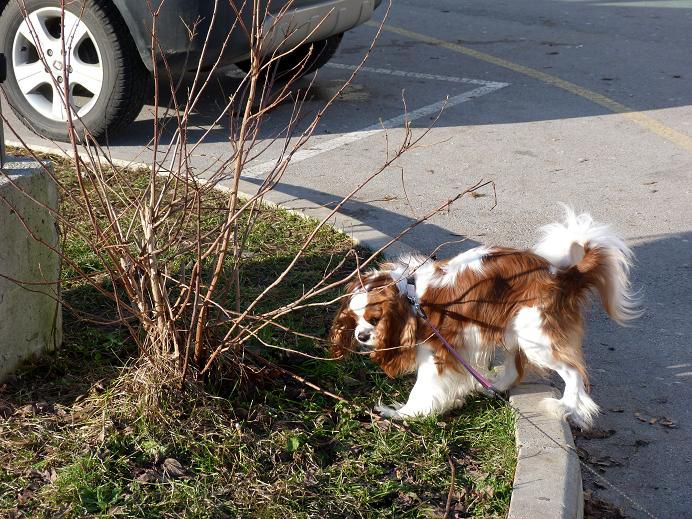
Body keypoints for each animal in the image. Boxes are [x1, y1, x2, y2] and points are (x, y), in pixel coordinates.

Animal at [330, 208, 636, 430]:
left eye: (375, 319)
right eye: (355, 319)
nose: (361, 336)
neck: (413, 296)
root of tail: (564, 274)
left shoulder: (437, 351)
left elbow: (423, 388)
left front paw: (404, 414)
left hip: (536, 336)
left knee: (572, 372)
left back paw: (569, 408)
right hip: (514, 330)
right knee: (515, 369)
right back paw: (493, 386)